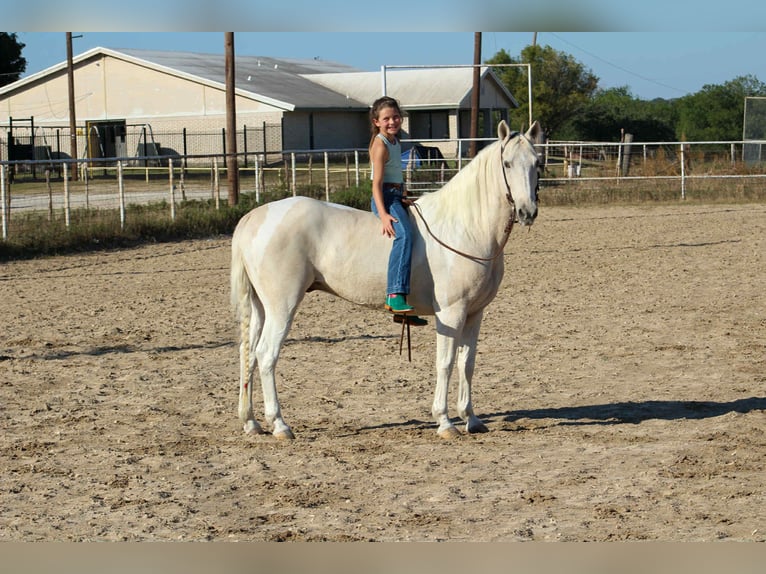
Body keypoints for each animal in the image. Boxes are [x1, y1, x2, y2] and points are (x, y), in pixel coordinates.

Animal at [230, 120, 541, 439]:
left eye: (537, 163)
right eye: (507, 163)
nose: (527, 211)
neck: (464, 227)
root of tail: (255, 217)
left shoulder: (474, 313)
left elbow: (467, 363)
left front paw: (472, 418)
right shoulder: (451, 313)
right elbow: (445, 363)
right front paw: (444, 421)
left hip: (260, 307)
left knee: (248, 353)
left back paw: (251, 422)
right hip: (282, 306)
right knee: (266, 354)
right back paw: (280, 424)